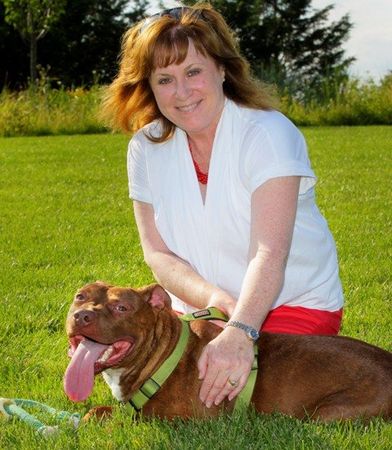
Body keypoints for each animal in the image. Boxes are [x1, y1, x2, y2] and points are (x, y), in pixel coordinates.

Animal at [64, 282, 392, 422]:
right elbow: (95, 411)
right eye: (80, 296)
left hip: (328, 414)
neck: (162, 355)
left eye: (122, 307)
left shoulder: (184, 422)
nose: (82, 315)